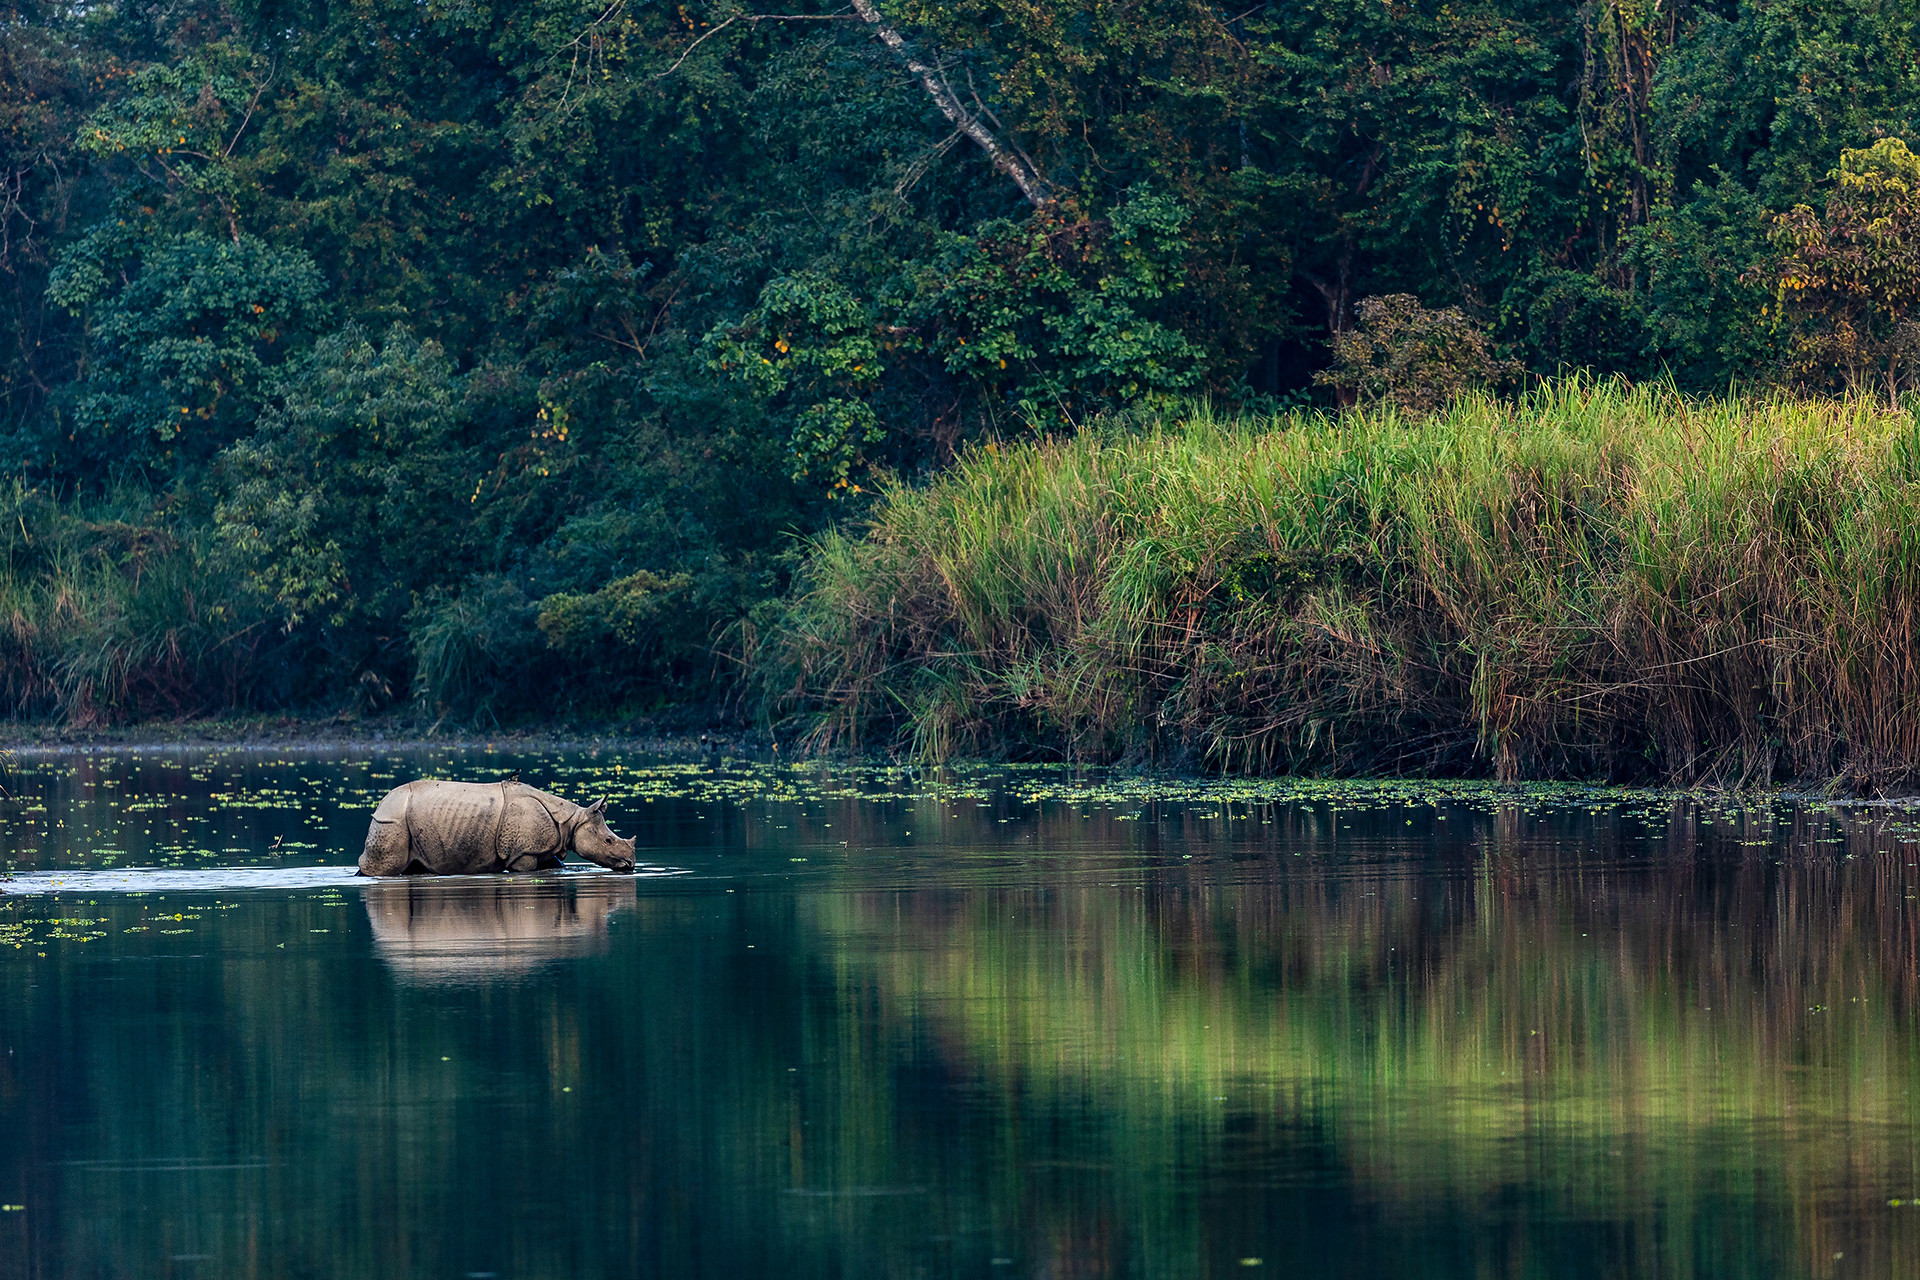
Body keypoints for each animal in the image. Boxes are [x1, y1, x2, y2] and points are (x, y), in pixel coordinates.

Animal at [357, 778, 637, 876]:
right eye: (608, 841)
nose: (631, 864)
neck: (571, 820)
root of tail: (381, 803)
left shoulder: (541, 849)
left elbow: (556, 866)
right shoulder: (523, 853)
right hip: (392, 819)